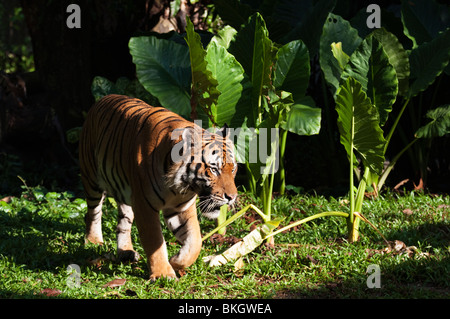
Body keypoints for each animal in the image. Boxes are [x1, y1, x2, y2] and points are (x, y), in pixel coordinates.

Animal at [78, 94, 237, 282]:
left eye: (233, 169)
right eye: (213, 169)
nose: (232, 197)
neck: (180, 186)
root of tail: (102, 99)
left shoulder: (181, 207)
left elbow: (195, 240)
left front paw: (177, 261)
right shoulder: (145, 206)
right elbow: (155, 241)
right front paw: (163, 273)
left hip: (126, 194)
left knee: (123, 222)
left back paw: (126, 252)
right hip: (92, 179)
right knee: (92, 213)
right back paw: (94, 241)